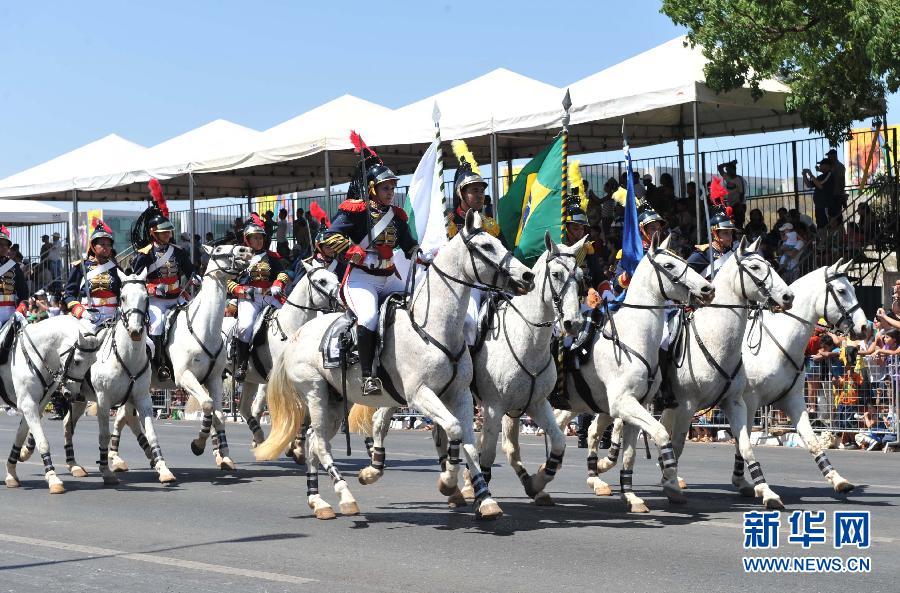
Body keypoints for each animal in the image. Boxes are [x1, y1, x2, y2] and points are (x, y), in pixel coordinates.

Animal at [2, 316, 99, 492]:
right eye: (77, 361)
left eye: (93, 361)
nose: (74, 394)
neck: (33, 355)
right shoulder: (28, 404)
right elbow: (43, 442)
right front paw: (53, 477)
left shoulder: (36, 404)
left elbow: (21, 435)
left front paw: (11, 473)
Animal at [106, 243, 253, 470]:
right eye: (219, 248)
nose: (245, 251)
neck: (204, 328)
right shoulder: (184, 377)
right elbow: (207, 405)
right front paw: (198, 444)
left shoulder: (214, 379)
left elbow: (219, 415)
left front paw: (226, 457)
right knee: (124, 417)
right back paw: (117, 457)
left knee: (125, 416)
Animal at [253, 210, 536, 520]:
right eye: (486, 246)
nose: (528, 275)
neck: (433, 328)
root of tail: (297, 335)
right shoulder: (419, 395)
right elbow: (453, 430)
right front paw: (448, 482)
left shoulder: (459, 394)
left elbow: (470, 445)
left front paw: (485, 499)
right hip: (315, 394)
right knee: (319, 444)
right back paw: (343, 497)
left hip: (335, 402)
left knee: (314, 441)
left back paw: (318, 500)